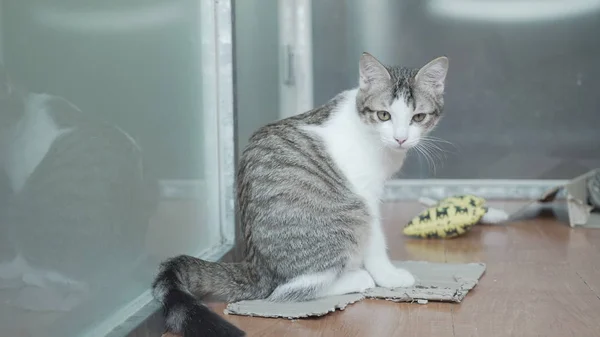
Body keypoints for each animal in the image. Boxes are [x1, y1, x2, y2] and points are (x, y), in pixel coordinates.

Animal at [152, 52, 448, 336]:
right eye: (384, 115)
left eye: (418, 117)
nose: (401, 138)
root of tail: (254, 266)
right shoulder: (366, 195)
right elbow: (375, 242)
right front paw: (389, 276)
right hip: (350, 214)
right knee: (285, 291)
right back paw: (356, 278)